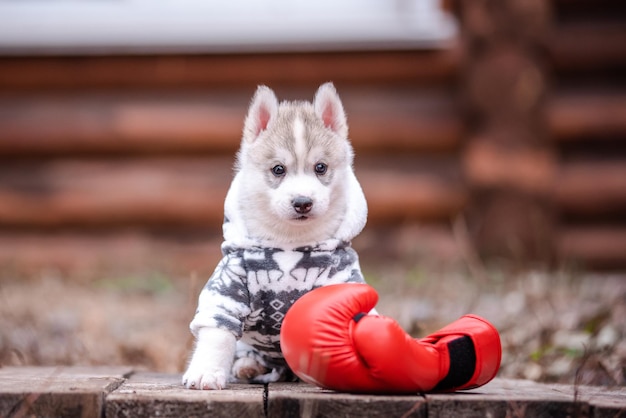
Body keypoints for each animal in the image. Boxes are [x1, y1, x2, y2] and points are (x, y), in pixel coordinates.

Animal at [182, 83, 366, 390]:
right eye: (278, 169)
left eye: (321, 167)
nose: (302, 202)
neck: (290, 245)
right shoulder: (228, 287)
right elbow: (218, 334)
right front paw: (206, 373)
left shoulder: (340, 280)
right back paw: (247, 365)